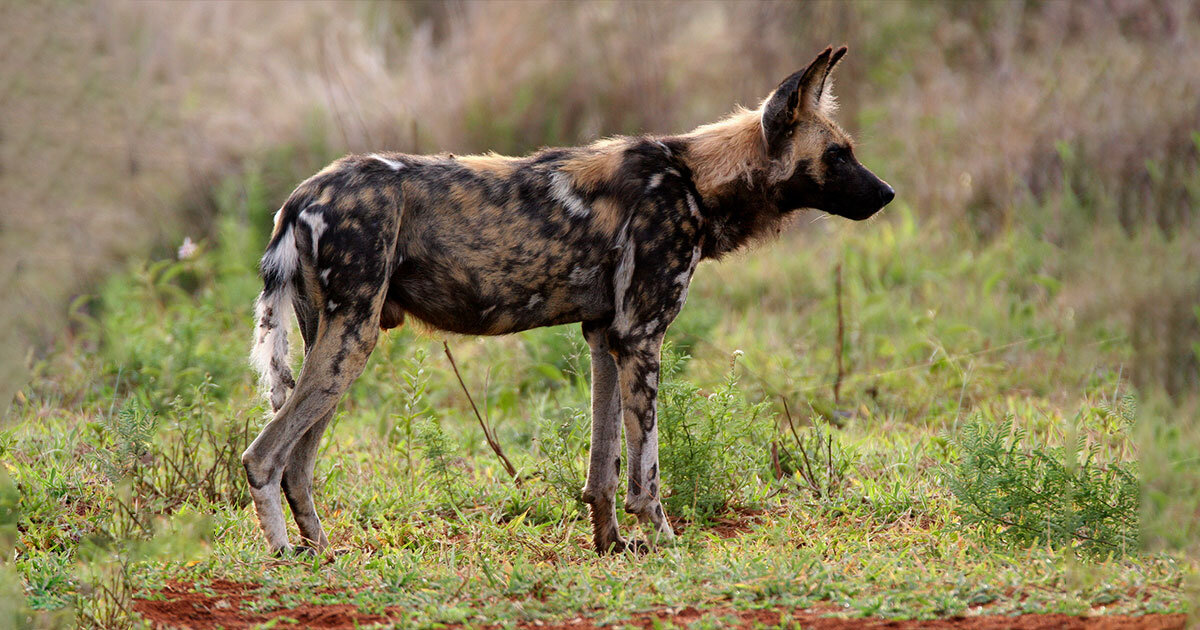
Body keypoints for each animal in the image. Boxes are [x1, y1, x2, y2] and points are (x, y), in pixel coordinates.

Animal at [246, 46, 892, 552]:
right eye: (838, 155)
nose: (887, 193)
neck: (695, 181)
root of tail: (301, 195)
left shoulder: (606, 337)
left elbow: (602, 471)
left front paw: (612, 546)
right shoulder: (642, 337)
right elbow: (646, 475)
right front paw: (666, 543)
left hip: (335, 343)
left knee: (297, 465)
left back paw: (325, 551)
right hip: (351, 344)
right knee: (262, 458)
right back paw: (286, 558)